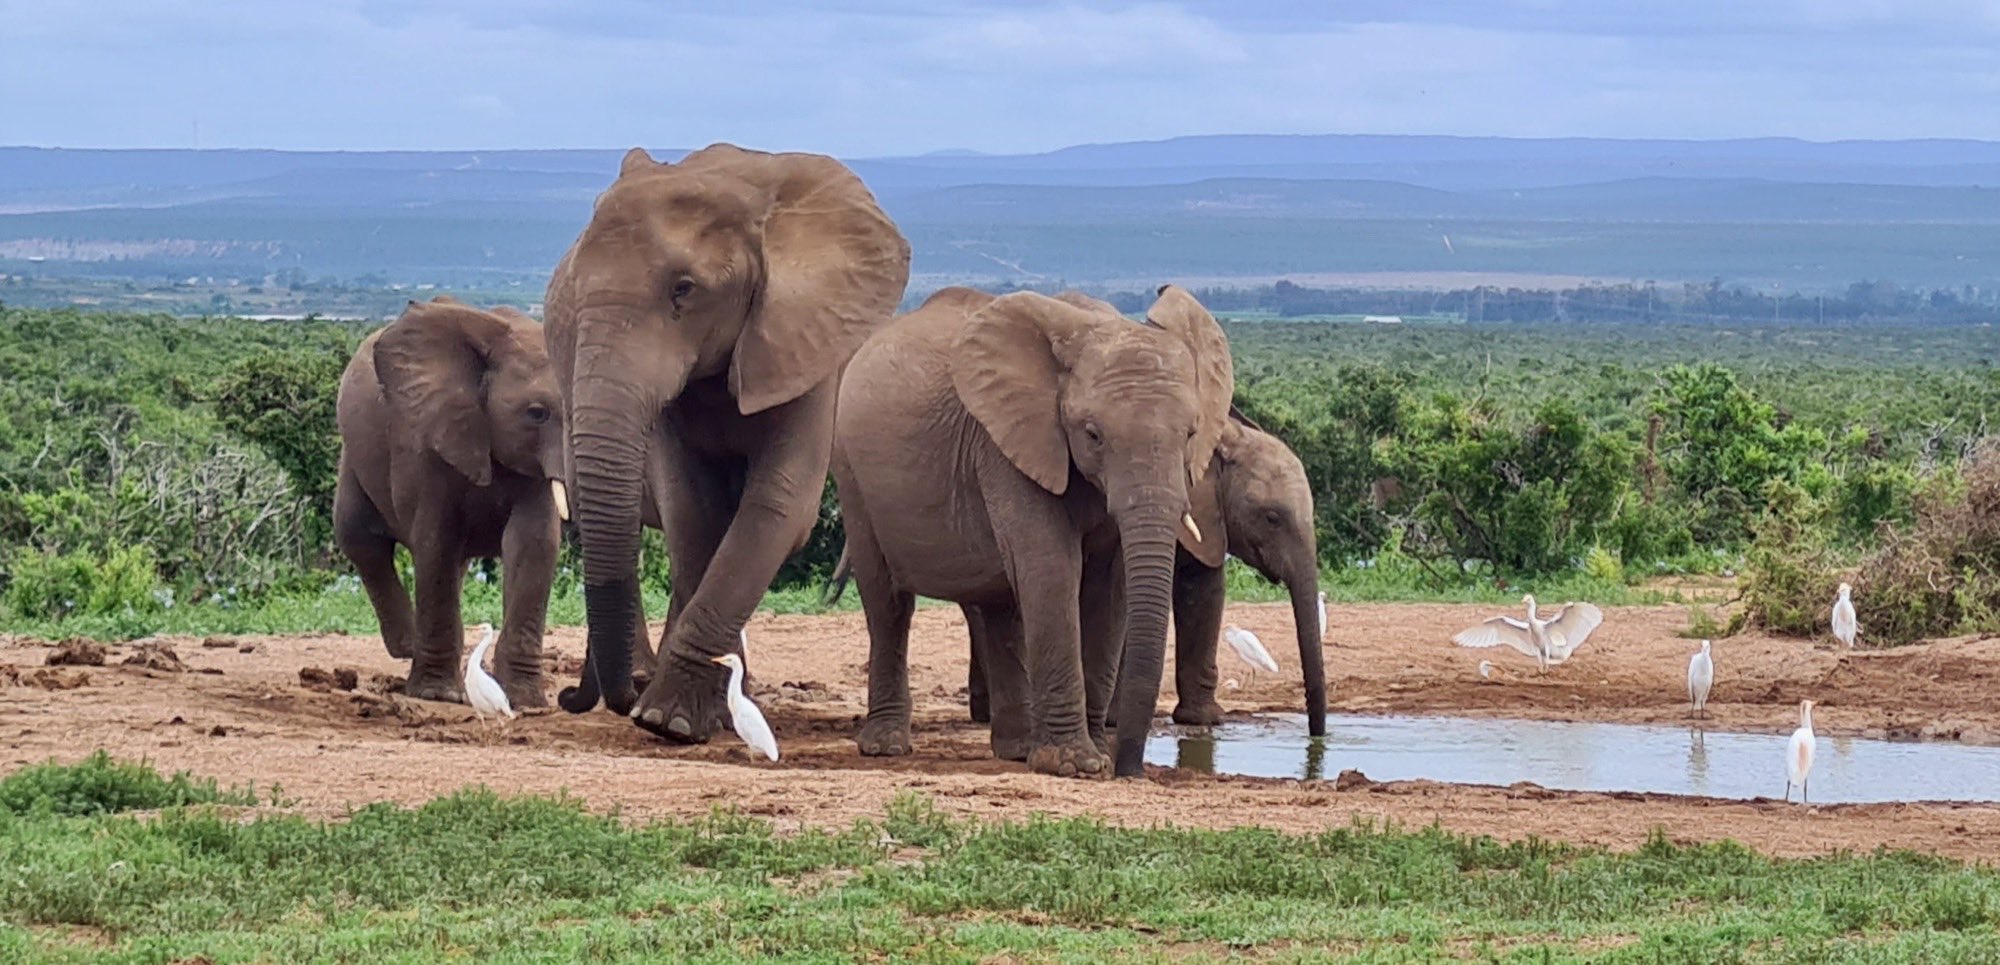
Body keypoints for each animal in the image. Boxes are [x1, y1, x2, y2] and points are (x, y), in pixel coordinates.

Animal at [333, 296, 565, 707]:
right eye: (537, 413)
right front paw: (437, 694)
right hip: (354, 455)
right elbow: (435, 542)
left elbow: (534, 544)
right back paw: (407, 646)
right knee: (361, 538)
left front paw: (525, 701)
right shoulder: (426, 438)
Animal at [546, 143, 910, 742]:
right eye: (574, 288)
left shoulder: (805, 342)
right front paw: (680, 718)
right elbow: (693, 508)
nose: (569, 698)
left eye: (684, 290)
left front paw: (670, 719)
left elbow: (777, 506)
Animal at [829, 285, 1234, 778]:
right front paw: (1076, 765)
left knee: (998, 608)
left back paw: (1016, 750)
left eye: (1192, 433)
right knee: (888, 603)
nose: (1130, 769)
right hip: (852, 476)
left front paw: (1095, 758)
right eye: (1092, 434)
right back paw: (886, 747)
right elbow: (1051, 569)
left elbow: (1108, 588)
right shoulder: (1007, 445)